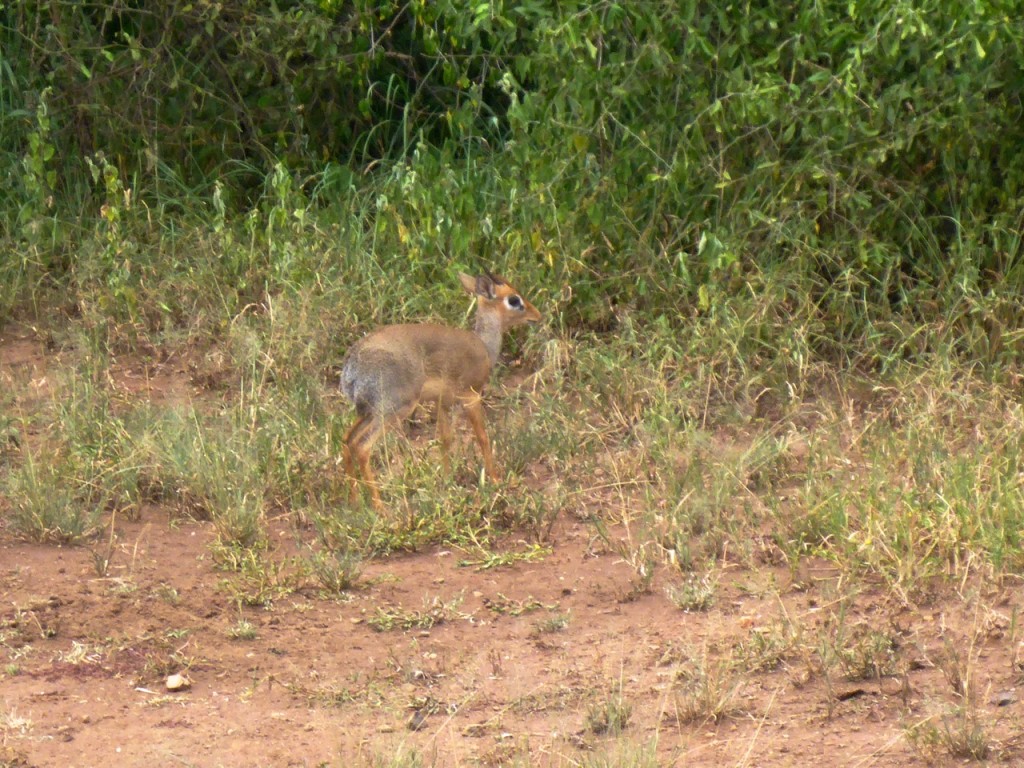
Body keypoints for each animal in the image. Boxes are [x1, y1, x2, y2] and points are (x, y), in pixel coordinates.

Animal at [337, 274, 544, 507]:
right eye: (514, 299)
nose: (537, 315)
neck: (484, 346)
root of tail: (352, 363)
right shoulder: (471, 396)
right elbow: (482, 437)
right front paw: (495, 479)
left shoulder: (442, 402)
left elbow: (445, 439)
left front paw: (447, 481)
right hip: (394, 409)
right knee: (362, 446)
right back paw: (380, 507)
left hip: (368, 412)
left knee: (347, 439)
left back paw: (355, 501)